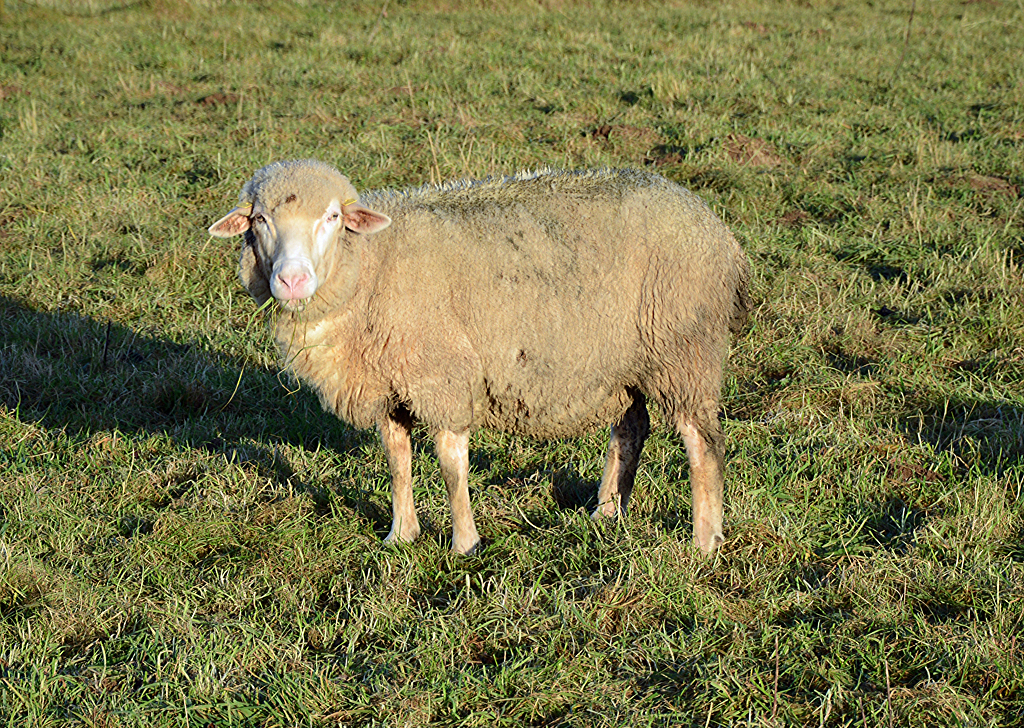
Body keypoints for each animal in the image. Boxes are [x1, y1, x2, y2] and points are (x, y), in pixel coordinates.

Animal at [209, 160, 753, 557]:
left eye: (332, 218)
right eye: (259, 220)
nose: (292, 281)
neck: (372, 266)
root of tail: (717, 229)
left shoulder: (440, 374)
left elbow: (452, 464)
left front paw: (463, 544)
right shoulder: (390, 385)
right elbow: (397, 459)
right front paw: (400, 534)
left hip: (683, 347)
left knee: (703, 443)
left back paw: (705, 540)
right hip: (623, 359)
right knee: (632, 426)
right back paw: (607, 510)